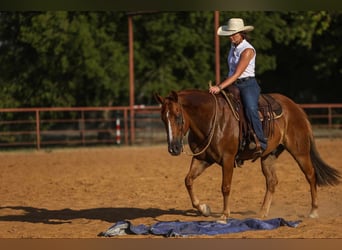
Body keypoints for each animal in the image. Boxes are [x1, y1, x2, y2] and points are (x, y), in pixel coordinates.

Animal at [156, 89, 342, 221]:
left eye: (178, 116)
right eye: (163, 119)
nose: (173, 148)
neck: (212, 120)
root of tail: (296, 108)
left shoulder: (228, 159)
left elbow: (225, 186)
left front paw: (224, 215)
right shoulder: (202, 159)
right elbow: (188, 180)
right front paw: (204, 208)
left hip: (300, 151)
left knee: (310, 175)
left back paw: (313, 211)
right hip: (269, 156)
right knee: (272, 181)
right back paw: (262, 213)